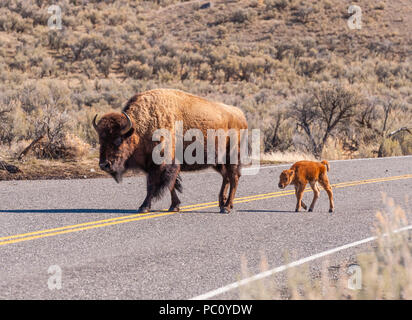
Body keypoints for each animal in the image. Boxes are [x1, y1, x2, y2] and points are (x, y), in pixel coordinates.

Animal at [92, 89, 248, 214]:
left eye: (118, 140)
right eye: (100, 140)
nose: (104, 165)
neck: (139, 129)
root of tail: (240, 115)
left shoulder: (162, 164)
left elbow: (153, 185)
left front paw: (144, 207)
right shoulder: (158, 166)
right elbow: (171, 185)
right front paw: (174, 206)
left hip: (232, 156)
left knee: (234, 177)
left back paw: (226, 207)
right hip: (218, 161)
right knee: (226, 177)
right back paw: (222, 204)